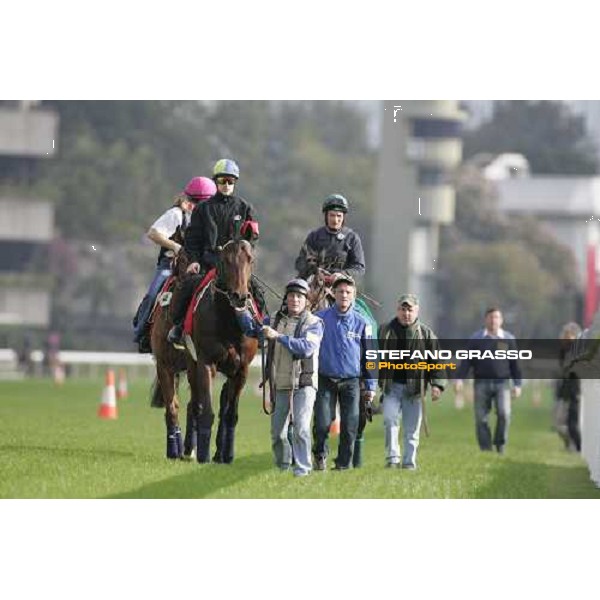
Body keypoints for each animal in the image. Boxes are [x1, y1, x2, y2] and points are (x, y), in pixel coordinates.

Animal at [186, 239, 258, 464]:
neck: (229, 321)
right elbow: (206, 411)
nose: (239, 296)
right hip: (192, 365)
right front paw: (203, 455)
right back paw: (187, 450)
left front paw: (227, 455)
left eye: (250, 259)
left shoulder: (241, 370)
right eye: (225, 260)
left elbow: (230, 415)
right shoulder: (206, 363)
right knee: (195, 405)